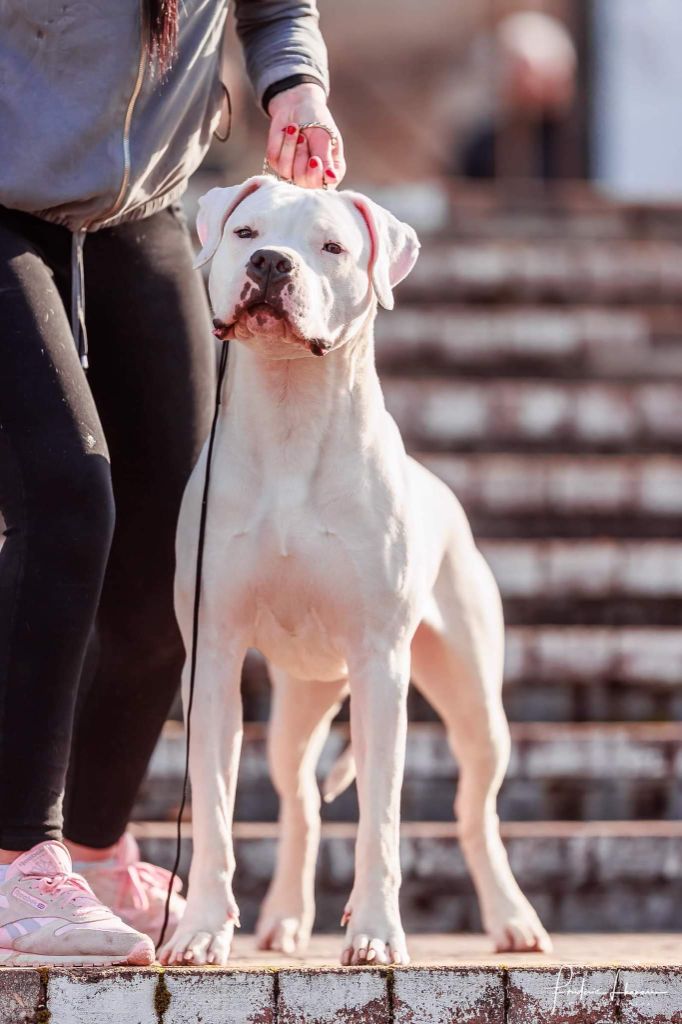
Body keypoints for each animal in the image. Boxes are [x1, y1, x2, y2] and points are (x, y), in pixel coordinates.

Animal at [159, 176, 548, 966]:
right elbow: (212, 806)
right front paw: (202, 928)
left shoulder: (379, 664)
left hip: (475, 702)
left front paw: (374, 933)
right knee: (301, 798)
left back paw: (512, 918)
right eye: (246, 233)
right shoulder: (212, 656)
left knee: (474, 809)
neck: (290, 411)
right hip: (297, 703)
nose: (272, 263)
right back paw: (283, 920)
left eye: (332, 246)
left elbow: (382, 821)